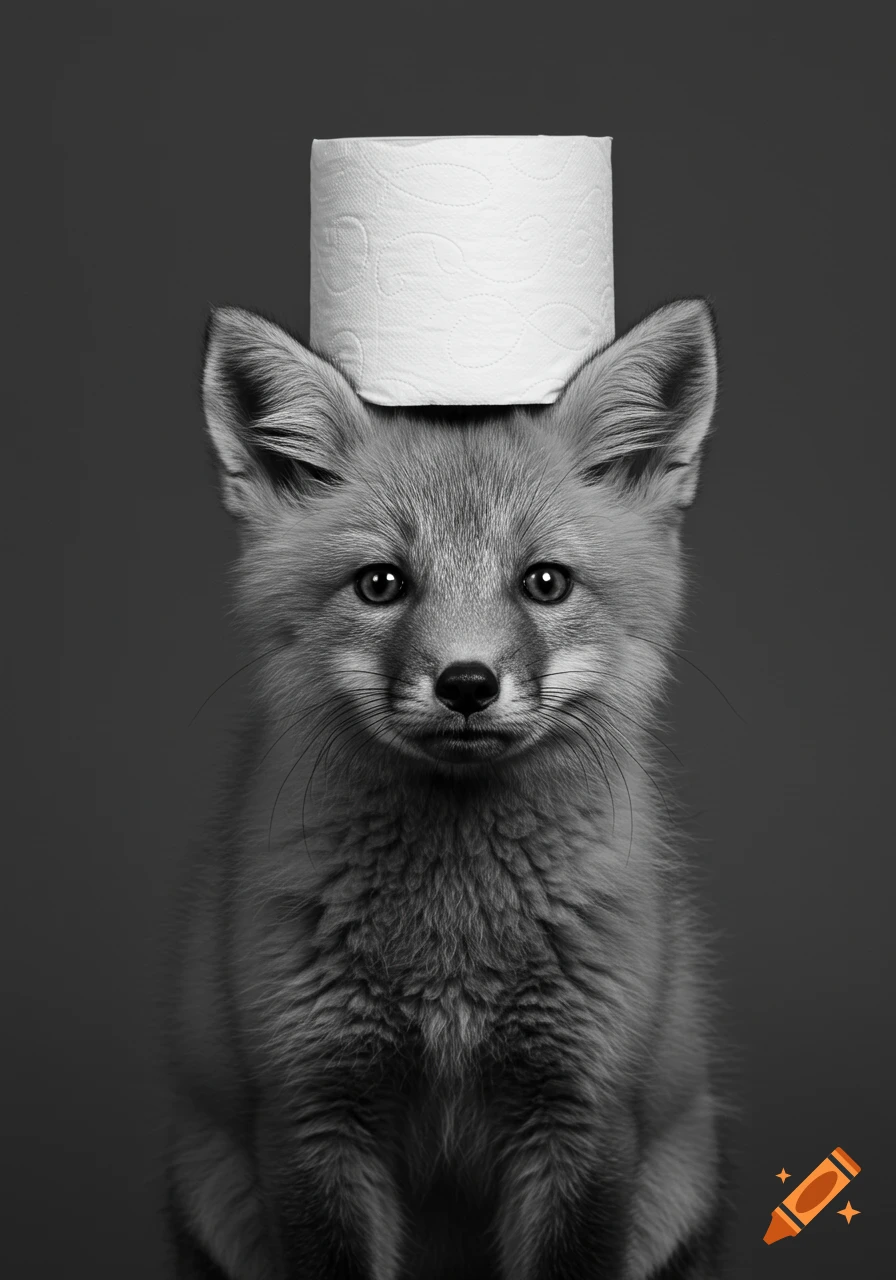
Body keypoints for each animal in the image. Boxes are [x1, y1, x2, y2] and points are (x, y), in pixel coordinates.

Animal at [164, 297, 734, 1279]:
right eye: (381, 583)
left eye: (544, 582)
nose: (467, 684)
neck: (453, 952)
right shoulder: (312, 1112)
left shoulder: (582, 1113)